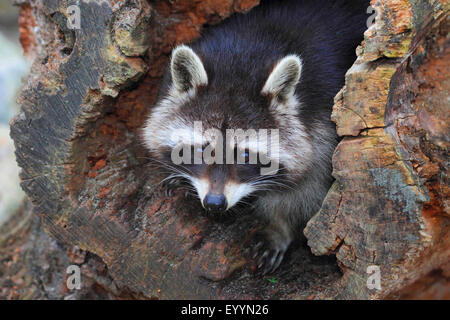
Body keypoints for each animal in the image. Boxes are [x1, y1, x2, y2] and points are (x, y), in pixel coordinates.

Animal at [143, 0, 370, 272]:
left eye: (245, 155)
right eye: (201, 150)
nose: (215, 203)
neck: (243, 56)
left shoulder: (324, 113)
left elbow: (312, 183)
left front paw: (280, 226)